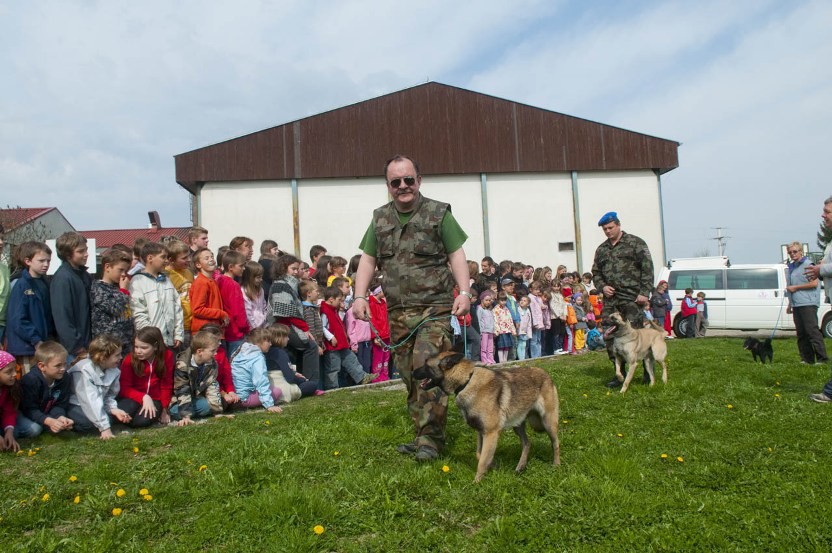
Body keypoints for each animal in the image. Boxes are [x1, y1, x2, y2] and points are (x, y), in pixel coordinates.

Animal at [410, 352, 560, 480]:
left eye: (426, 364)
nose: (411, 372)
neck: (466, 382)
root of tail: (546, 374)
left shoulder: (490, 433)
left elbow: (482, 461)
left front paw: (476, 484)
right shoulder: (480, 432)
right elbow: (480, 455)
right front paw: (494, 465)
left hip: (548, 422)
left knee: (555, 443)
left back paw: (556, 465)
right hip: (517, 425)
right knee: (527, 443)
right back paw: (520, 467)